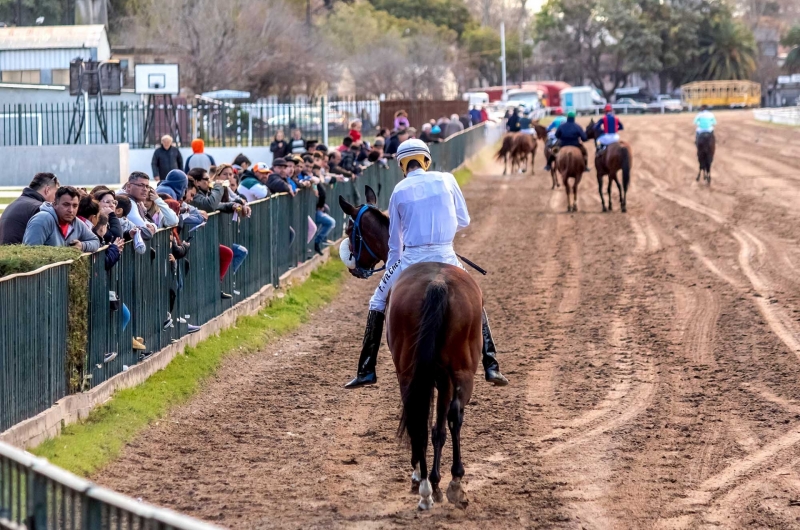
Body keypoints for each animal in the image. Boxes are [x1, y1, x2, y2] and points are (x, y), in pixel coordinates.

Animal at [336, 185, 482, 508]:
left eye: (350, 230)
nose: (353, 266)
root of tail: (438, 285)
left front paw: (423, 478)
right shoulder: (442, 374)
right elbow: (439, 424)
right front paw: (440, 480)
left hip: (409, 368)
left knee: (417, 415)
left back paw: (424, 486)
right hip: (461, 368)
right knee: (454, 416)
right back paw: (453, 483)